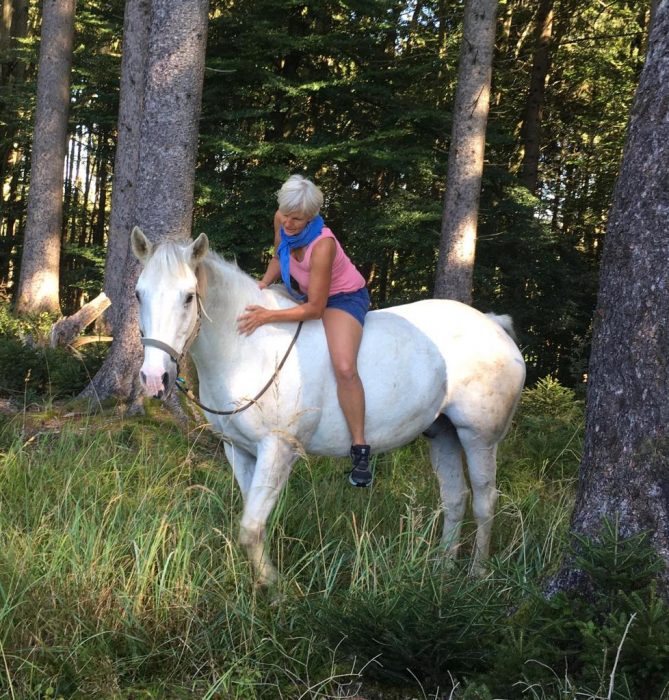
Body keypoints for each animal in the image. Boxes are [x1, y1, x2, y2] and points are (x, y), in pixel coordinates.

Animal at [132, 227, 528, 584]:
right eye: (139, 295)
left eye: (188, 297)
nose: (154, 377)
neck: (250, 347)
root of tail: (493, 323)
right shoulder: (239, 451)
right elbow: (252, 524)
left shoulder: (278, 449)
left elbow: (250, 528)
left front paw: (276, 590)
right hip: (443, 433)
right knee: (455, 498)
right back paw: (442, 569)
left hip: (478, 437)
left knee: (484, 500)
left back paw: (476, 573)